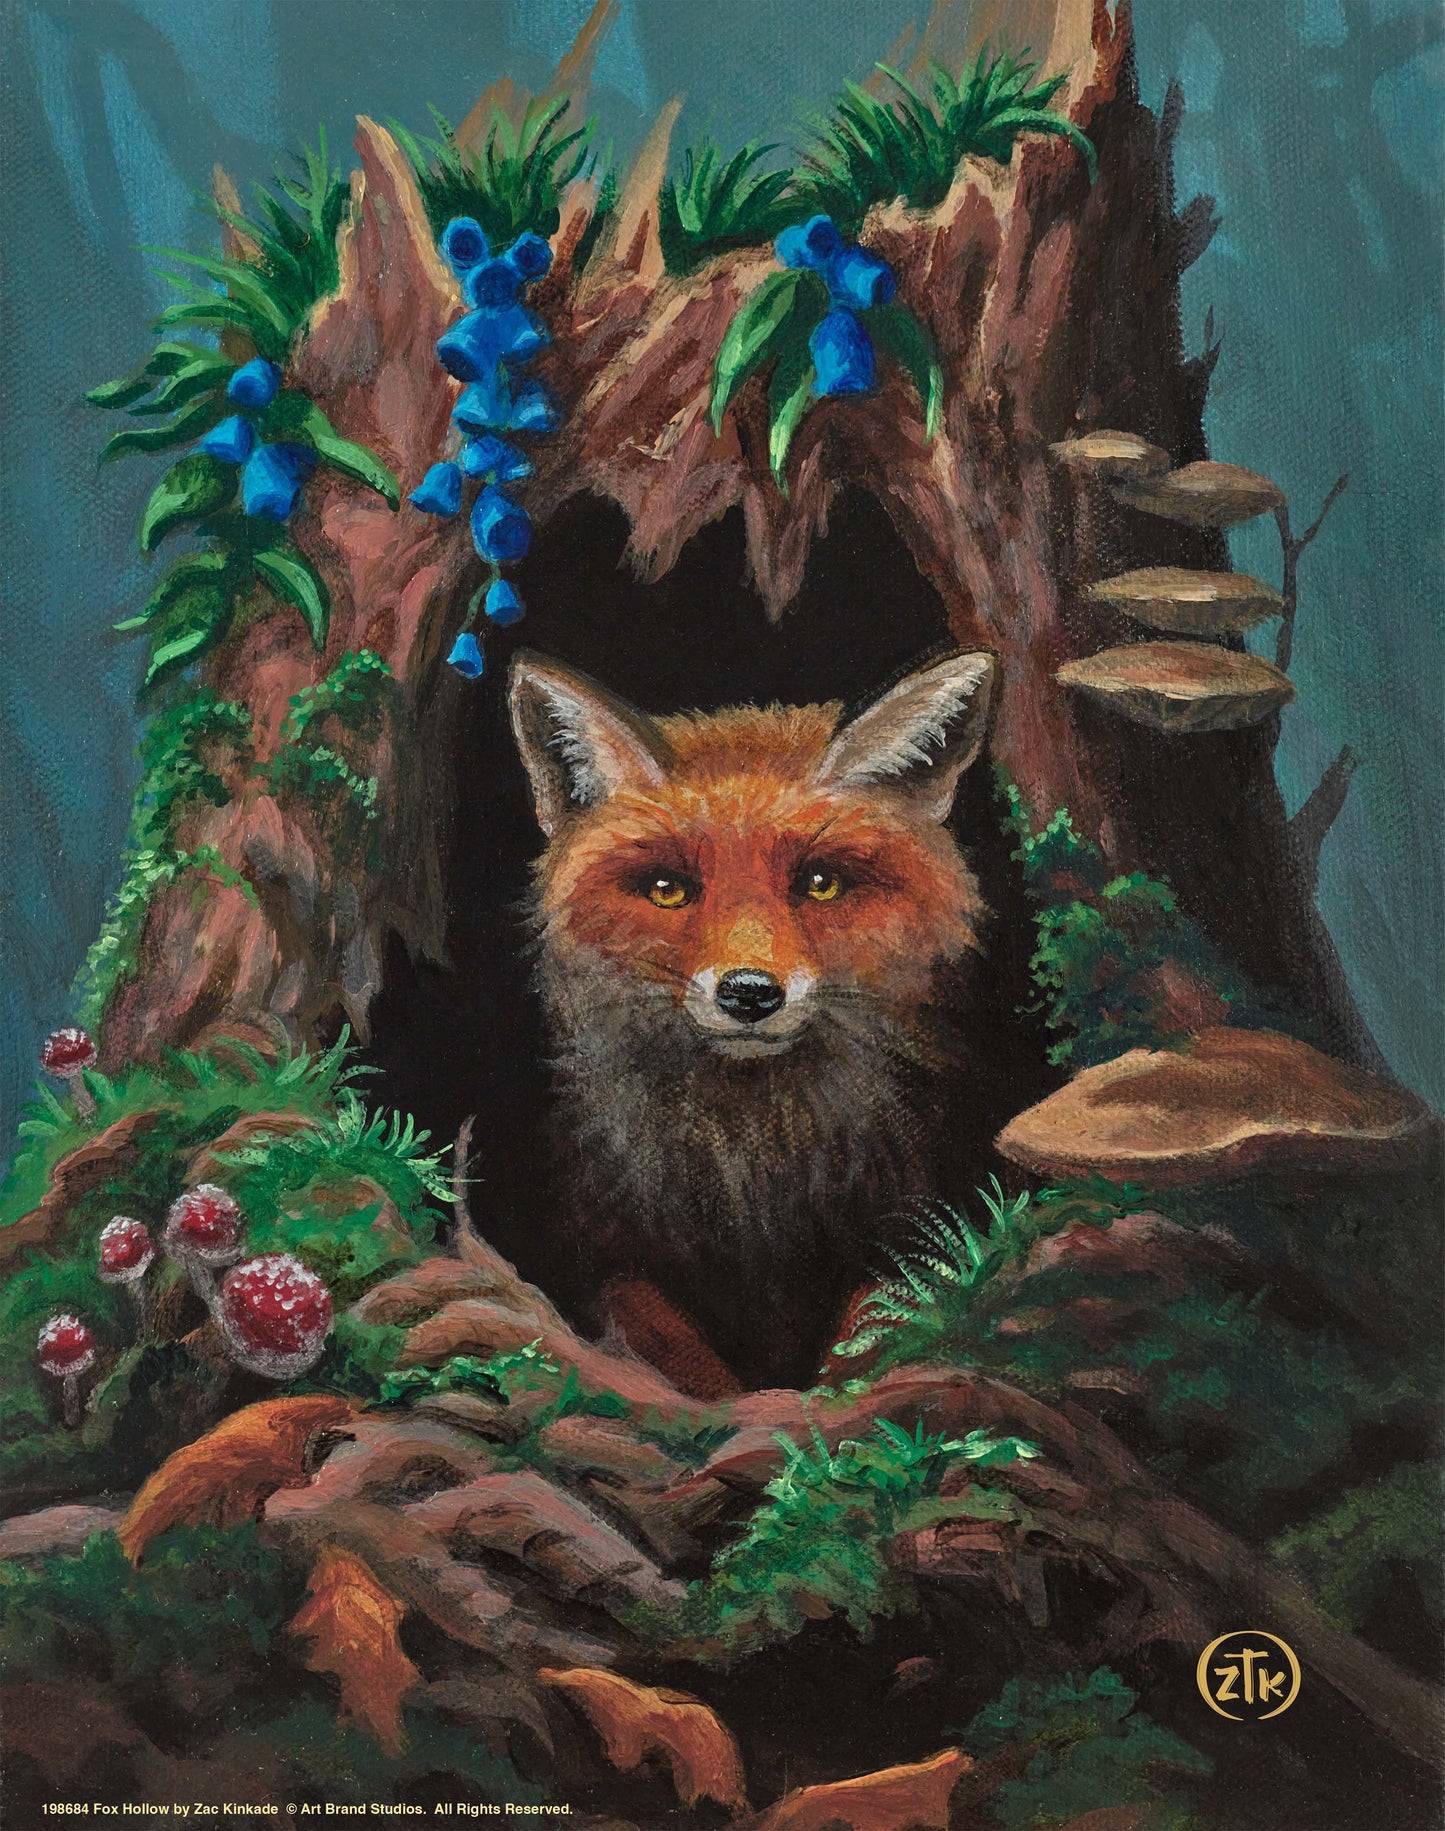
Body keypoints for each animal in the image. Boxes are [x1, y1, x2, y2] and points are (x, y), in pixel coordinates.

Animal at [509, 647, 998, 1389]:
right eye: (668, 889)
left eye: (820, 883)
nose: (748, 994)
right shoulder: (610, 1259)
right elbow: (679, 1358)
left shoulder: (906, 1232)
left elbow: (864, 1340)